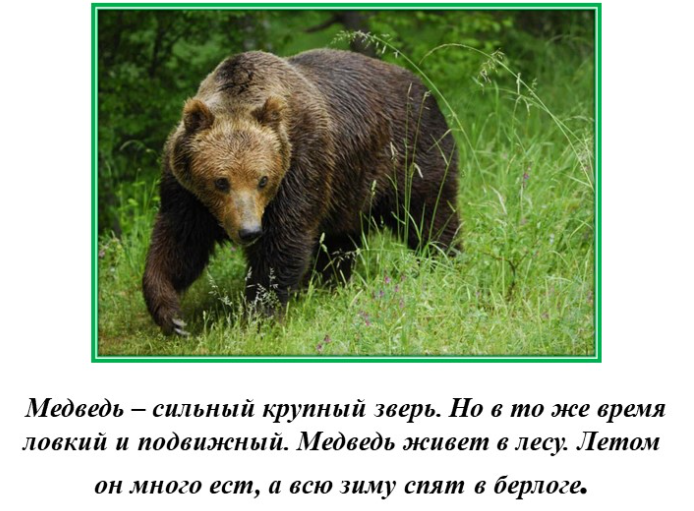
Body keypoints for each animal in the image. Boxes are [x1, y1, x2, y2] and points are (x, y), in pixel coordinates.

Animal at [143, 49, 460, 336]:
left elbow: (283, 242)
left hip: (409, 155)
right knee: (340, 241)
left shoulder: (301, 166)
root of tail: (423, 86)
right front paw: (172, 315)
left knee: (428, 213)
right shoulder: (187, 194)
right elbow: (180, 243)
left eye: (262, 179)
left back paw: (442, 260)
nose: (249, 231)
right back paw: (333, 283)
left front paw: (259, 316)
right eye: (221, 181)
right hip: (348, 190)